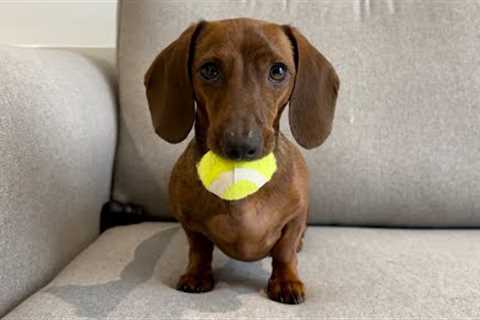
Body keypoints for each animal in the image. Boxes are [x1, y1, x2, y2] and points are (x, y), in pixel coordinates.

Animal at [143, 18, 338, 304]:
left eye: (278, 70)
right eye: (209, 69)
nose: (241, 147)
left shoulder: (296, 216)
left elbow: (285, 251)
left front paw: (286, 281)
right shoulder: (188, 222)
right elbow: (199, 249)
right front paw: (197, 275)